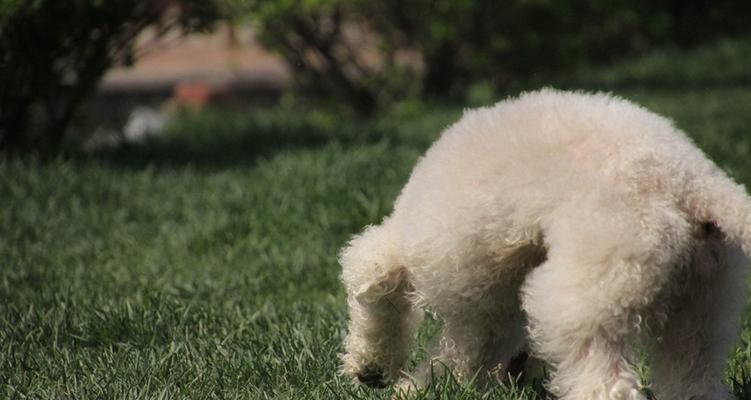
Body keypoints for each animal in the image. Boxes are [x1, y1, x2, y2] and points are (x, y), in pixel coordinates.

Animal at [340, 89, 751, 398]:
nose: (371, 378)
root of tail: (693, 186)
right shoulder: (493, 309)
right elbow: (464, 358)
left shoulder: (450, 277)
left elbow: (377, 284)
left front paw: (377, 369)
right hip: (701, 306)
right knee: (694, 375)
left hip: (593, 300)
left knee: (605, 384)